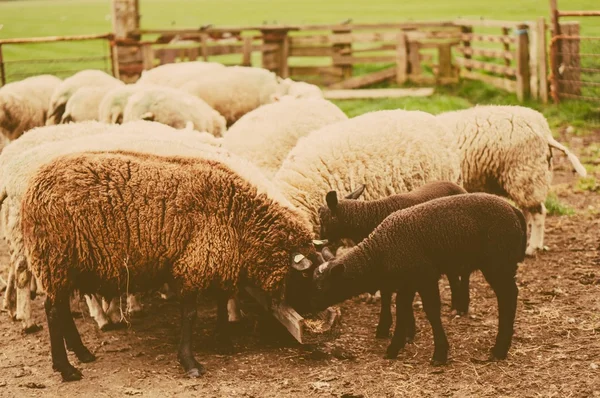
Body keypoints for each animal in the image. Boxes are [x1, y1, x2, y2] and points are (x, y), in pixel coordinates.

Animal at [436, 105, 584, 255]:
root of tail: (544, 129)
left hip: (526, 175)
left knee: (538, 213)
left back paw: (532, 247)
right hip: (525, 179)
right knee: (527, 213)